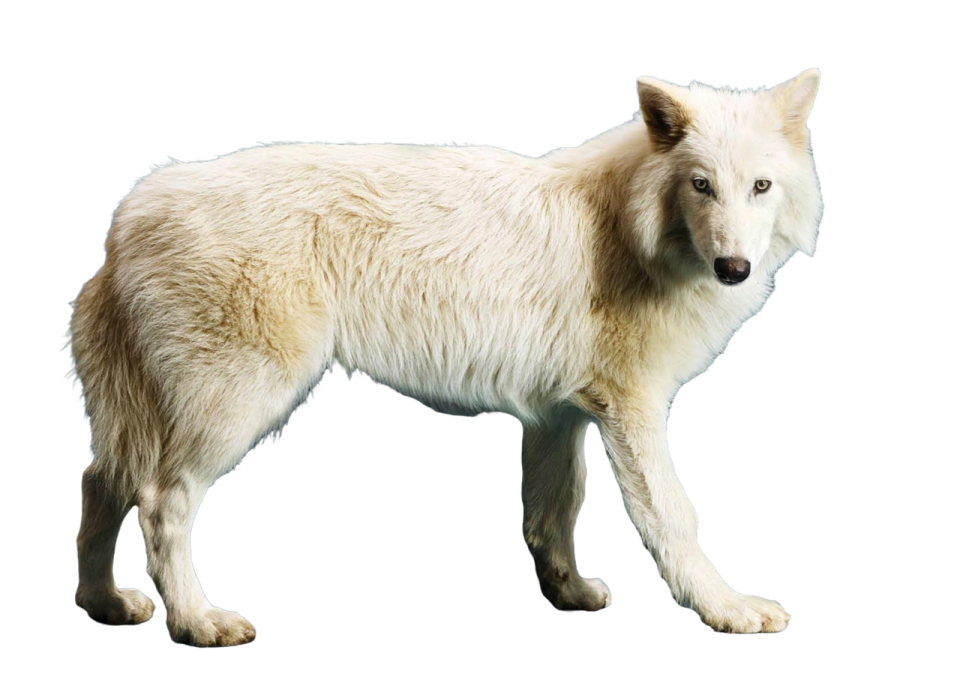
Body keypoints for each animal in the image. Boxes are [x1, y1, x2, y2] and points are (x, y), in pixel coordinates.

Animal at [66, 69, 822, 645]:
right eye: (701, 184)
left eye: (760, 187)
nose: (733, 268)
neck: (629, 229)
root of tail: (132, 209)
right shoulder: (631, 411)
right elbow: (676, 516)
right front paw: (729, 610)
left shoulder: (557, 417)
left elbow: (554, 512)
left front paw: (569, 594)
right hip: (236, 408)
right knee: (161, 502)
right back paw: (198, 623)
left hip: (149, 416)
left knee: (99, 480)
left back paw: (105, 603)